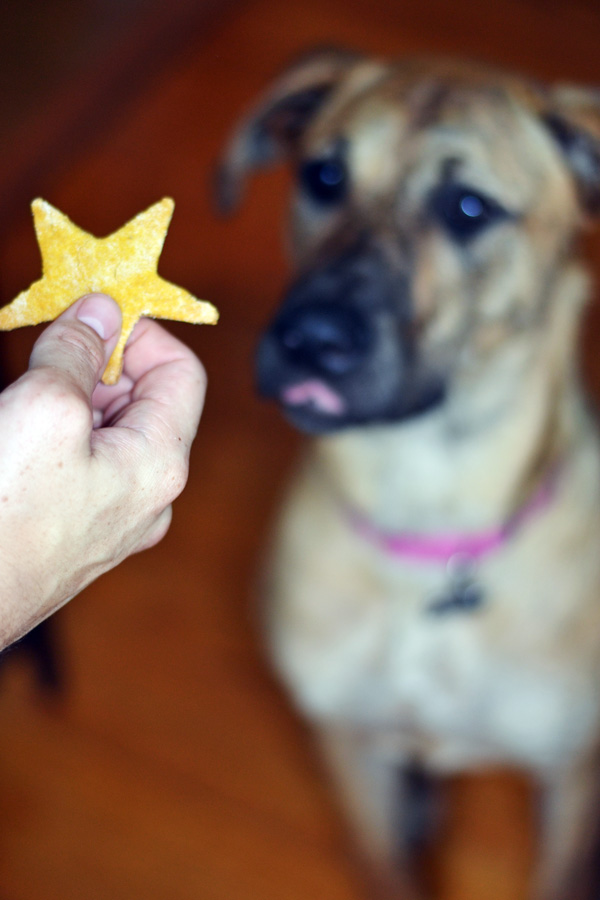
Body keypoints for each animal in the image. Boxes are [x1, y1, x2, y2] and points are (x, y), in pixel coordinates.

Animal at [220, 51, 600, 900]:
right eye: (324, 175)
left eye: (467, 207)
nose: (308, 339)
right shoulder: (348, 748)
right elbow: (385, 865)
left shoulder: (573, 775)